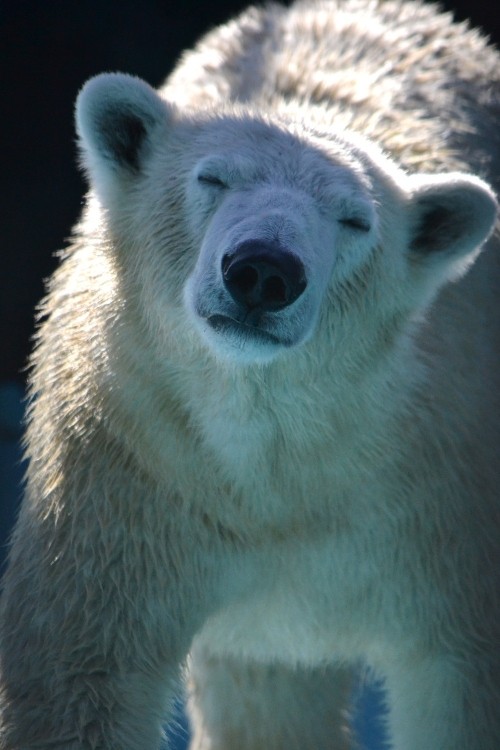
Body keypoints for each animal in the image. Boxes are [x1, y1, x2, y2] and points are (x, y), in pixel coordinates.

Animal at [0, 0, 500, 748]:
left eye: (356, 220)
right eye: (212, 178)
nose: (264, 270)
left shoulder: (441, 508)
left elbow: (461, 682)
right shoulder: (131, 470)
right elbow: (83, 672)